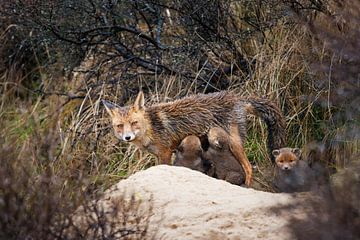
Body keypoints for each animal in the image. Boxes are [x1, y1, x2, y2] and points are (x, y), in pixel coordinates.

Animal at [102, 90, 286, 186]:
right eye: (120, 126)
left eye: (134, 123)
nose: (127, 137)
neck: (151, 128)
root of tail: (238, 97)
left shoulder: (165, 153)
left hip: (235, 144)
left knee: (248, 167)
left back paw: (246, 185)